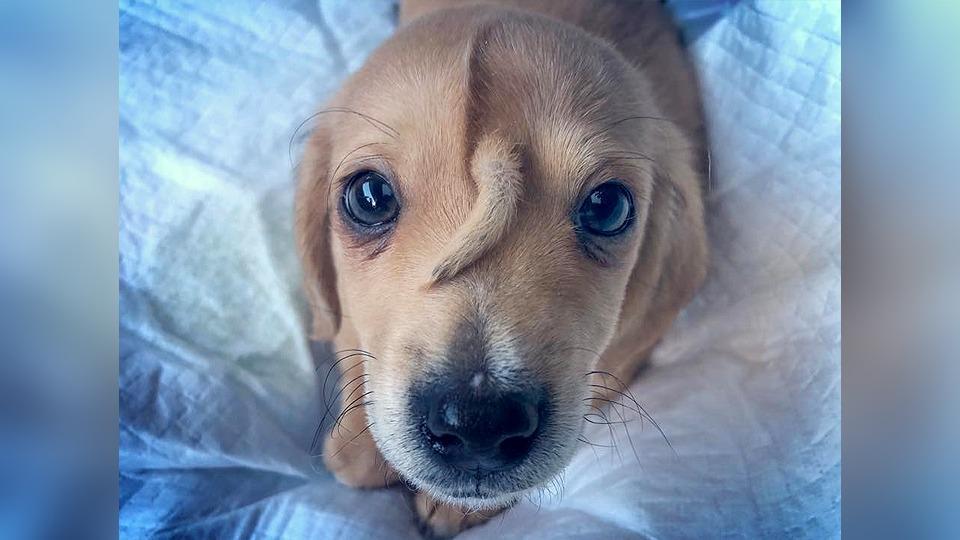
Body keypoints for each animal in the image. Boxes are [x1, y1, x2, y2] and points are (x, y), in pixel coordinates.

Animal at [296, 0, 708, 536]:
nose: (479, 425)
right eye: (369, 197)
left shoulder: (615, 360)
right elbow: (353, 350)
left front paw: (454, 506)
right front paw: (357, 447)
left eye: (607, 207)